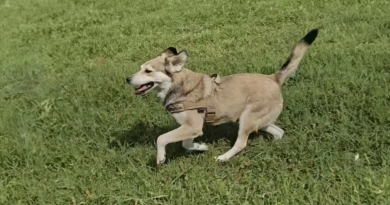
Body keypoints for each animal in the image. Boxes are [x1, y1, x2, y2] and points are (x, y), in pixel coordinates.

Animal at [126, 28, 318, 165]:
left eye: (148, 71)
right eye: (141, 68)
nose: (128, 79)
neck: (179, 86)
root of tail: (274, 78)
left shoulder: (192, 126)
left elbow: (162, 138)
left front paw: (160, 158)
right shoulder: (191, 127)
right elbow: (186, 144)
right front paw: (201, 147)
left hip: (247, 117)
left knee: (241, 143)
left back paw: (223, 157)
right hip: (260, 120)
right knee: (279, 132)